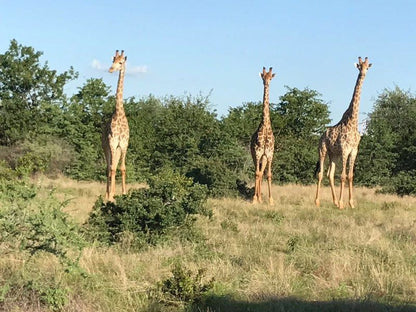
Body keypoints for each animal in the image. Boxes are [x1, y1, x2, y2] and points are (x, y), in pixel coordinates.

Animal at [316, 57, 372, 208]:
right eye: (359, 67)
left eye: (367, 67)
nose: (363, 74)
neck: (353, 122)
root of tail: (321, 136)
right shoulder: (345, 149)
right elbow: (342, 176)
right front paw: (342, 203)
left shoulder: (354, 150)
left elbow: (350, 176)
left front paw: (351, 203)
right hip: (323, 150)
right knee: (321, 174)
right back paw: (317, 201)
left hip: (333, 154)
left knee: (330, 174)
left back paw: (334, 201)